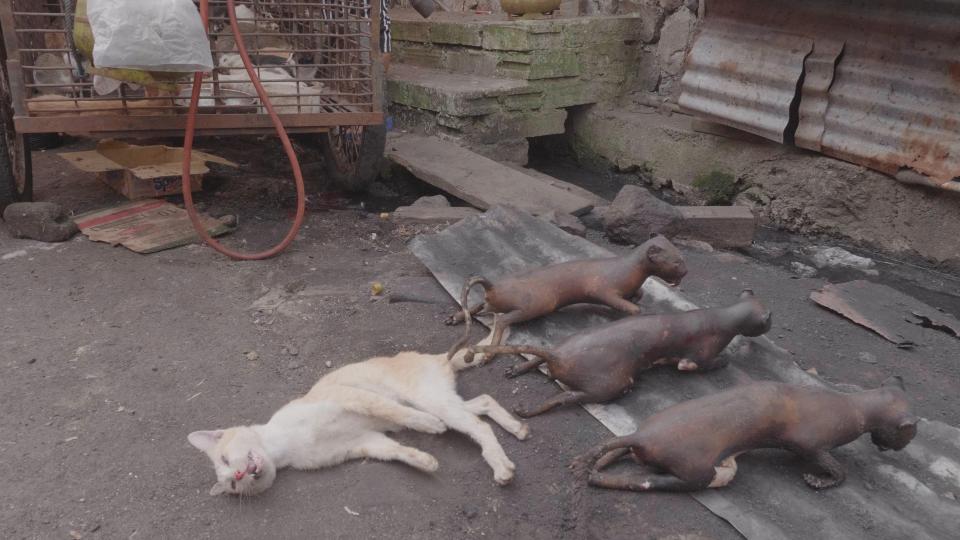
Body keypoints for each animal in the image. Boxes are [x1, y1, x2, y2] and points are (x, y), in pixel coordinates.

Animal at [188, 340, 528, 496]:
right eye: (232, 484)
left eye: (225, 459)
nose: (239, 474)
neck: (283, 446)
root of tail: (436, 357)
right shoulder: (364, 442)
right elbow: (396, 452)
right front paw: (426, 462)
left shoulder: (349, 396)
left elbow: (390, 410)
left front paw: (427, 427)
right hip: (443, 399)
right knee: (483, 404)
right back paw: (517, 429)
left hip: (429, 399)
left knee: (476, 424)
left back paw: (501, 465)